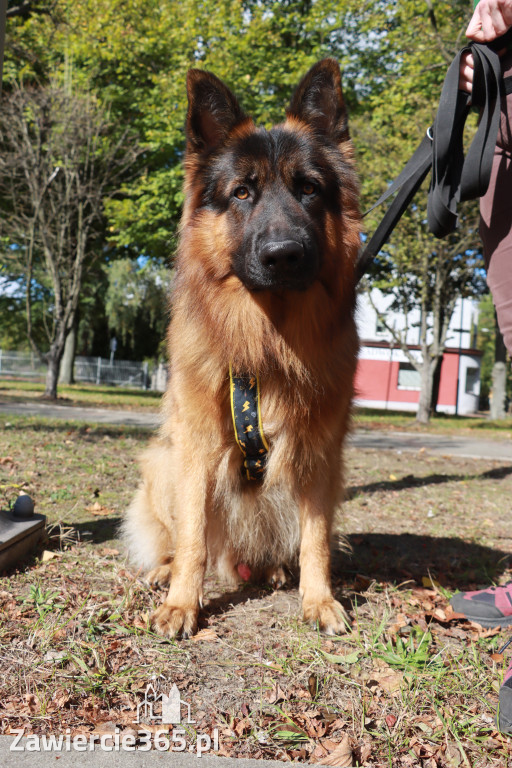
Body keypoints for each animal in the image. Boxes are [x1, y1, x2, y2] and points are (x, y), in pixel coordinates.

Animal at [125, 58, 360, 636]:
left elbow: (316, 539)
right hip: (161, 464)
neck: (265, 343)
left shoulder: (319, 455)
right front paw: (183, 604)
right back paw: (164, 574)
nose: (284, 255)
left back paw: (274, 570)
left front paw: (319, 599)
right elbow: (192, 539)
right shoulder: (196, 448)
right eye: (241, 193)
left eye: (309, 189)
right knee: (186, 544)